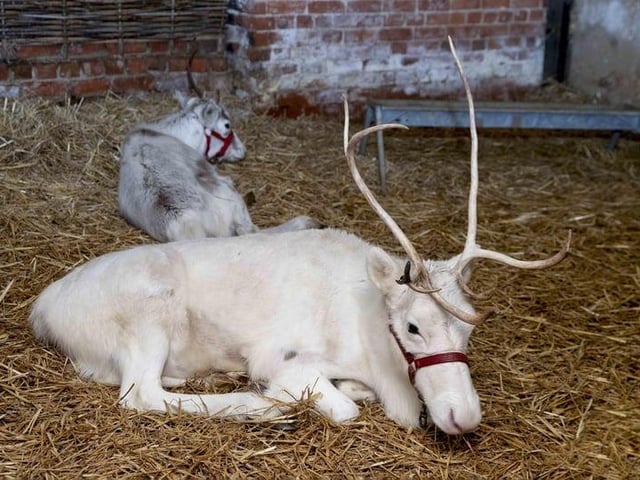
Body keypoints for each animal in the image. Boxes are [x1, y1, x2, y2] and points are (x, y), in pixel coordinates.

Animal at [117, 54, 320, 242]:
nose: (242, 150)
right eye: (227, 125)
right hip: (230, 195)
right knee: (250, 231)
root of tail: (186, 222)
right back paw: (308, 221)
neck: (164, 131)